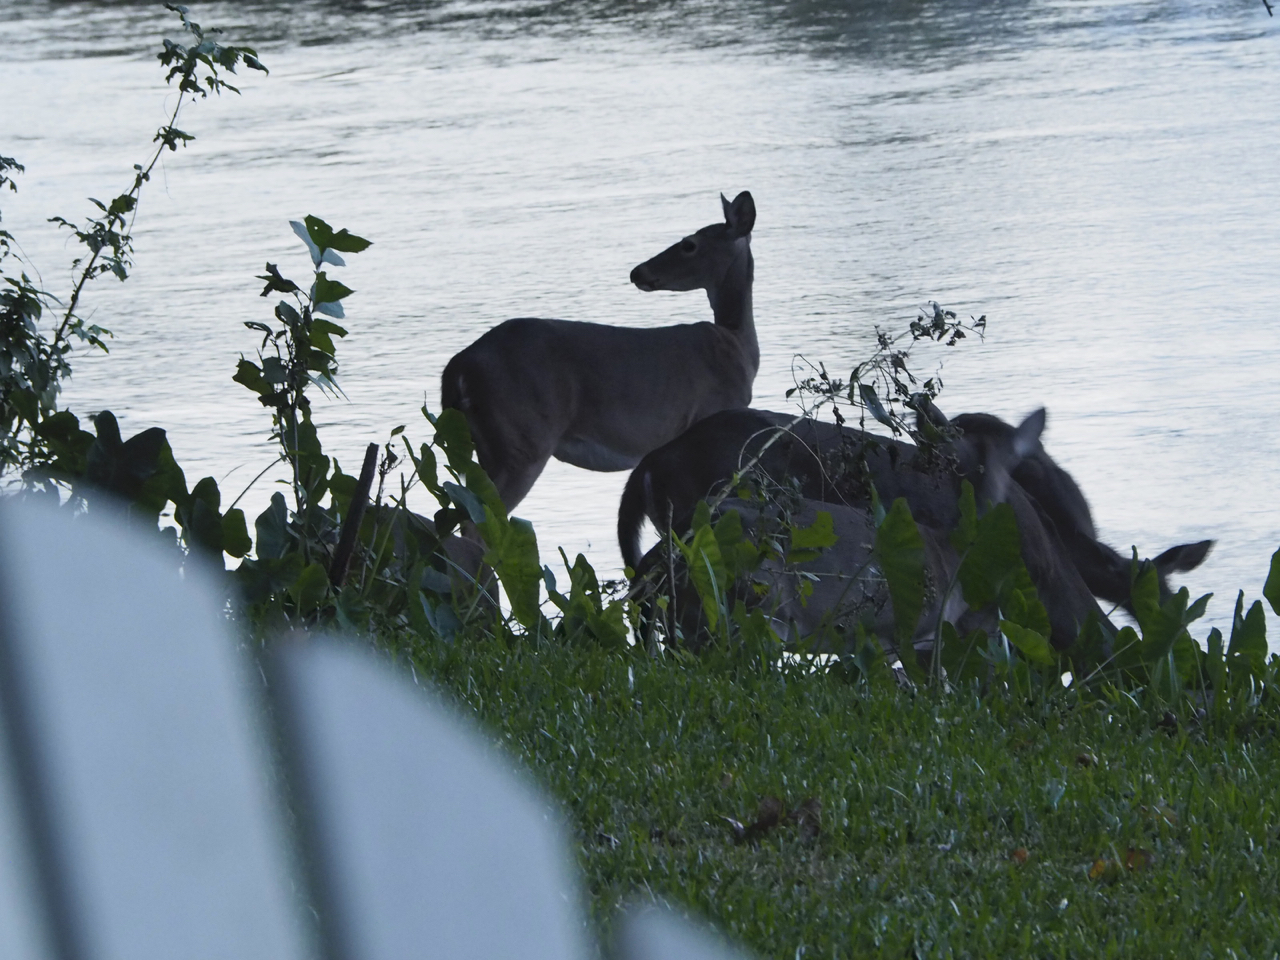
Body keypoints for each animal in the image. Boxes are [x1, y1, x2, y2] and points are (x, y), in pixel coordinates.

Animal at [442, 190, 757, 514]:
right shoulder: (713, 416)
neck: (739, 346)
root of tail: (457, 367)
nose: (637, 271)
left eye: (689, 245)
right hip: (522, 441)